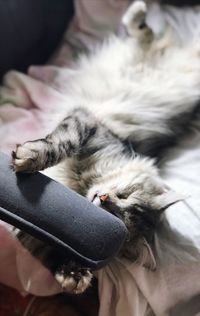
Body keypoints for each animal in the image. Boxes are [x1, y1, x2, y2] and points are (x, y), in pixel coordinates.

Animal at [11, 1, 200, 296]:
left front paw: (74, 274)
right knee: (146, 35)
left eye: (118, 218)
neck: (80, 187)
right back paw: (137, 10)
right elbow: (60, 143)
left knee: (147, 37)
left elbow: (51, 246)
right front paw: (29, 158)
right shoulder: (87, 124)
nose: (103, 198)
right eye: (125, 195)